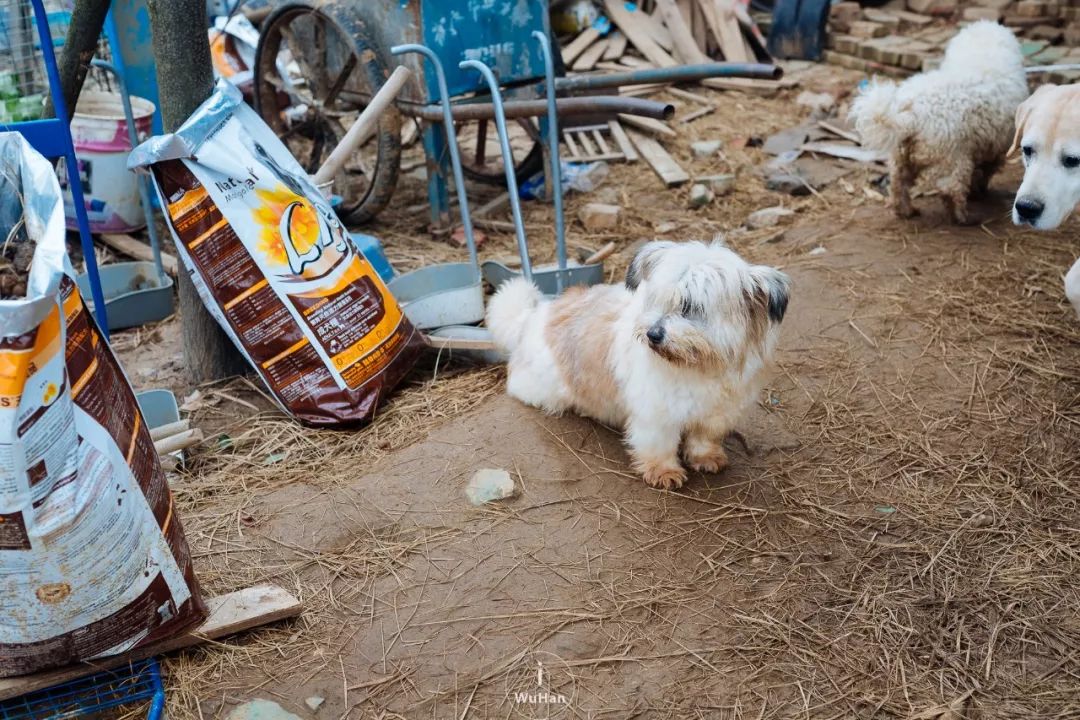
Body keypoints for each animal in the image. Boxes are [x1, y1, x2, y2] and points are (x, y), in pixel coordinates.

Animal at [486, 240, 790, 490]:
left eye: (690, 307)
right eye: (658, 300)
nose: (653, 334)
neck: (698, 366)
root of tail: (533, 315)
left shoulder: (716, 412)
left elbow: (704, 437)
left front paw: (706, 457)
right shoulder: (656, 413)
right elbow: (659, 444)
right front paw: (664, 472)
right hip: (545, 387)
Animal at [846, 21, 1023, 223]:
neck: (984, 52)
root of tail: (911, 114)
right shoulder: (994, 147)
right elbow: (985, 172)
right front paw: (979, 192)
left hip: (902, 157)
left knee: (898, 184)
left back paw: (906, 211)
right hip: (953, 158)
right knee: (951, 188)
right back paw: (963, 217)